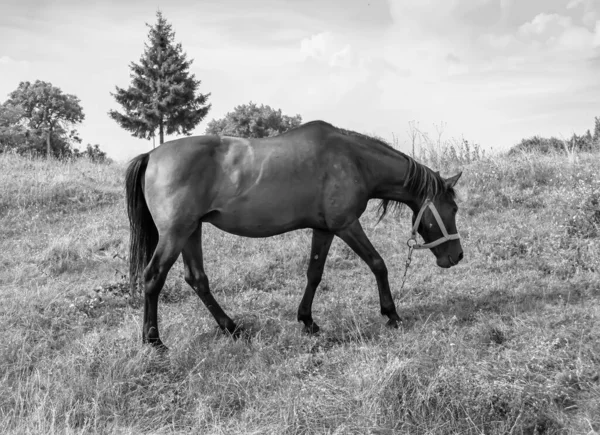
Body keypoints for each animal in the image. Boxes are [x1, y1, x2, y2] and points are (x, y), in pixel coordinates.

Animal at [125, 121, 464, 350]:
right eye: (454, 208)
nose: (457, 256)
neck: (353, 159)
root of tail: (153, 154)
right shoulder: (346, 225)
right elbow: (378, 264)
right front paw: (391, 314)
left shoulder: (324, 229)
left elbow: (314, 273)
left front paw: (308, 320)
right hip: (176, 233)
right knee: (154, 277)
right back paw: (154, 341)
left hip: (191, 231)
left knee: (197, 279)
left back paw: (232, 328)